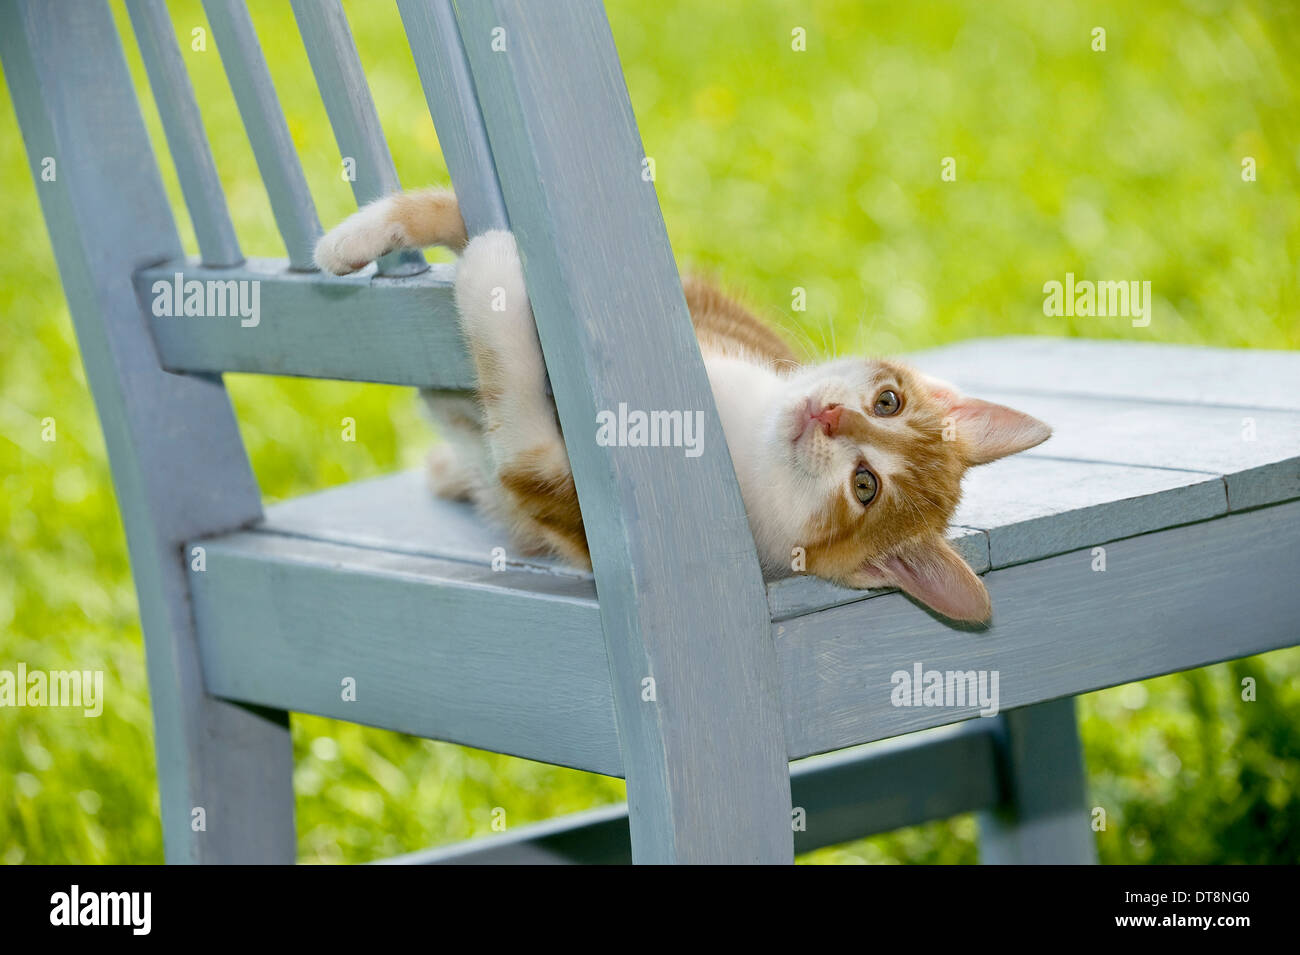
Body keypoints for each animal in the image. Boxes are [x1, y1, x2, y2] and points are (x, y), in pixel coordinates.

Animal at [312, 187, 1045, 623]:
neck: (738, 434)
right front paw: (358, 237)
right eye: (888, 400)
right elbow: (470, 218)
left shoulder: (563, 498)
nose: (831, 417)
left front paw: (490, 273)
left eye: (865, 487)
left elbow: (521, 428)